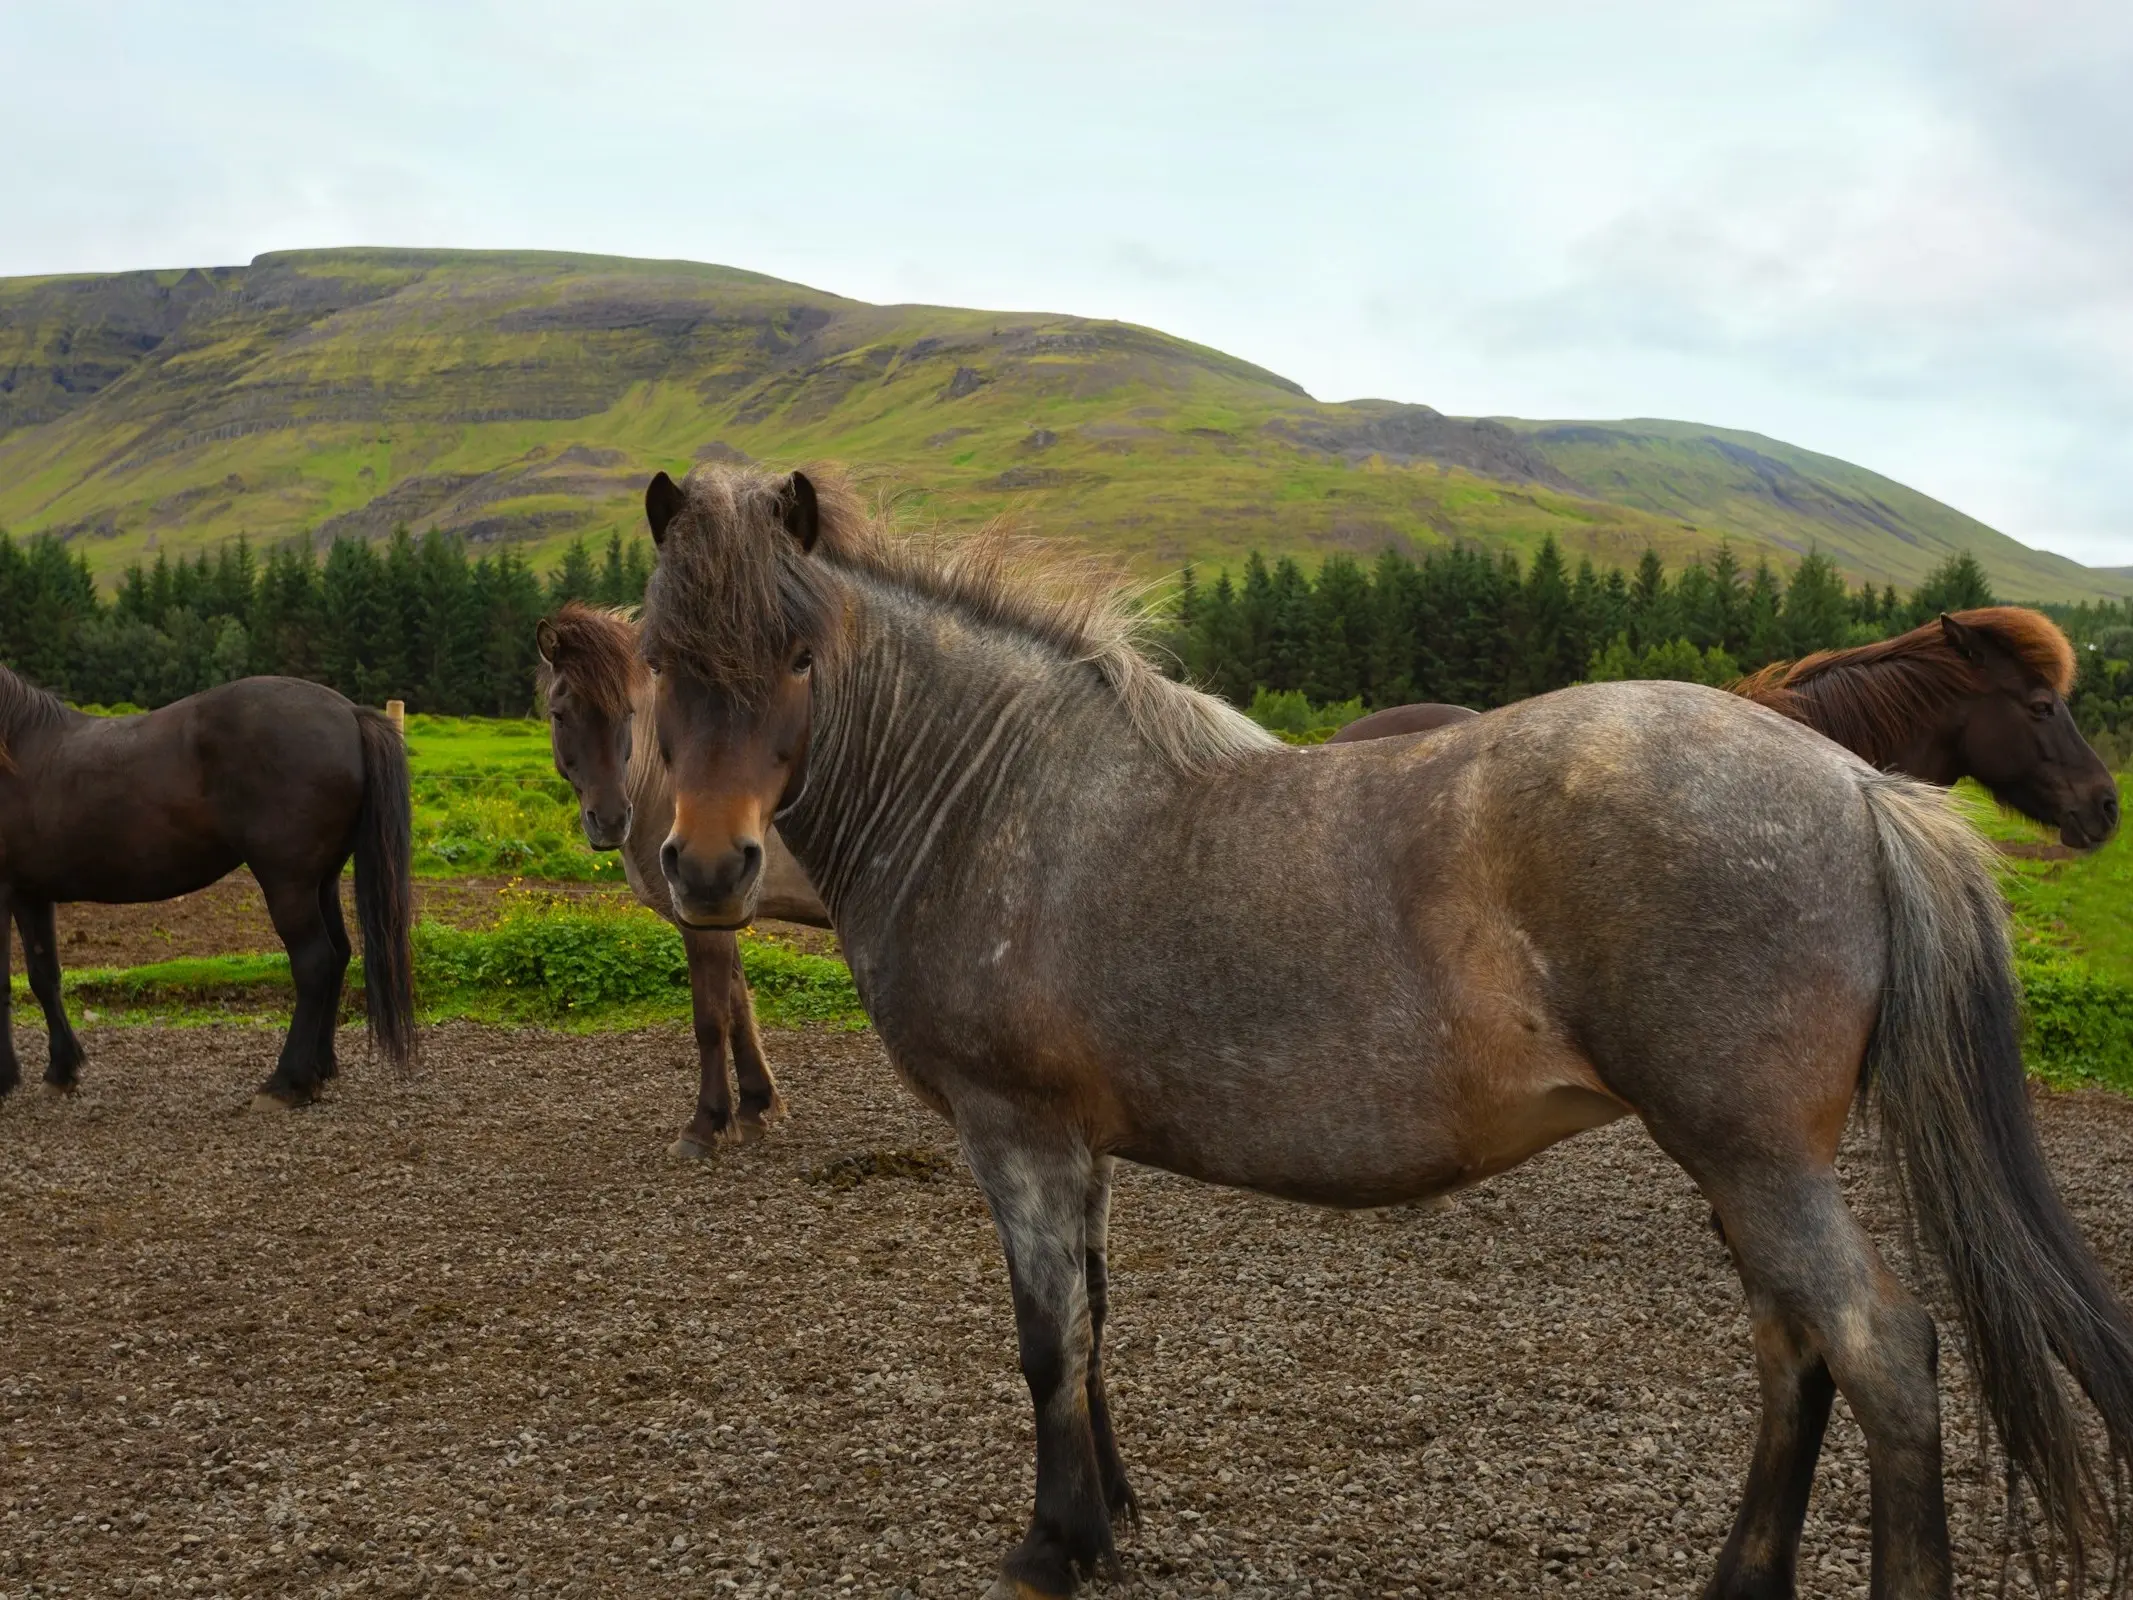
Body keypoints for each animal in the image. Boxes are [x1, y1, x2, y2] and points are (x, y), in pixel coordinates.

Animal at [0, 669, 415, 1109]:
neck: (15, 746)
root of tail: (350, 713)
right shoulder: (30, 893)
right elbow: (44, 977)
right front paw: (60, 1071)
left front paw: (7, 1077)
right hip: (323, 881)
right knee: (339, 955)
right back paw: (318, 1070)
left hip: (288, 883)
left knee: (314, 962)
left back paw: (286, 1082)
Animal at [537, 605, 827, 1160]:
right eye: (560, 714)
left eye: (629, 712)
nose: (610, 820)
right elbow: (737, 1003)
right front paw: (756, 1107)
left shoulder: (703, 917)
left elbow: (711, 1018)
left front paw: (704, 1126)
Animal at [639, 460, 2133, 1600]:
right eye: (658, 659)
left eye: (799, 656)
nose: (707, 870)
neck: (998, 794)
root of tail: (1857, 786)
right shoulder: (1076, 1146)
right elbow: (1096, 1321)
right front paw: (1112, 1519)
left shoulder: (1017, 1135)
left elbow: (1048, 1338)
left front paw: (1054, 1544)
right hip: (1745, 1166)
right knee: (1793, 1348)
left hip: (1754, 1157)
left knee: (1881, 1354)